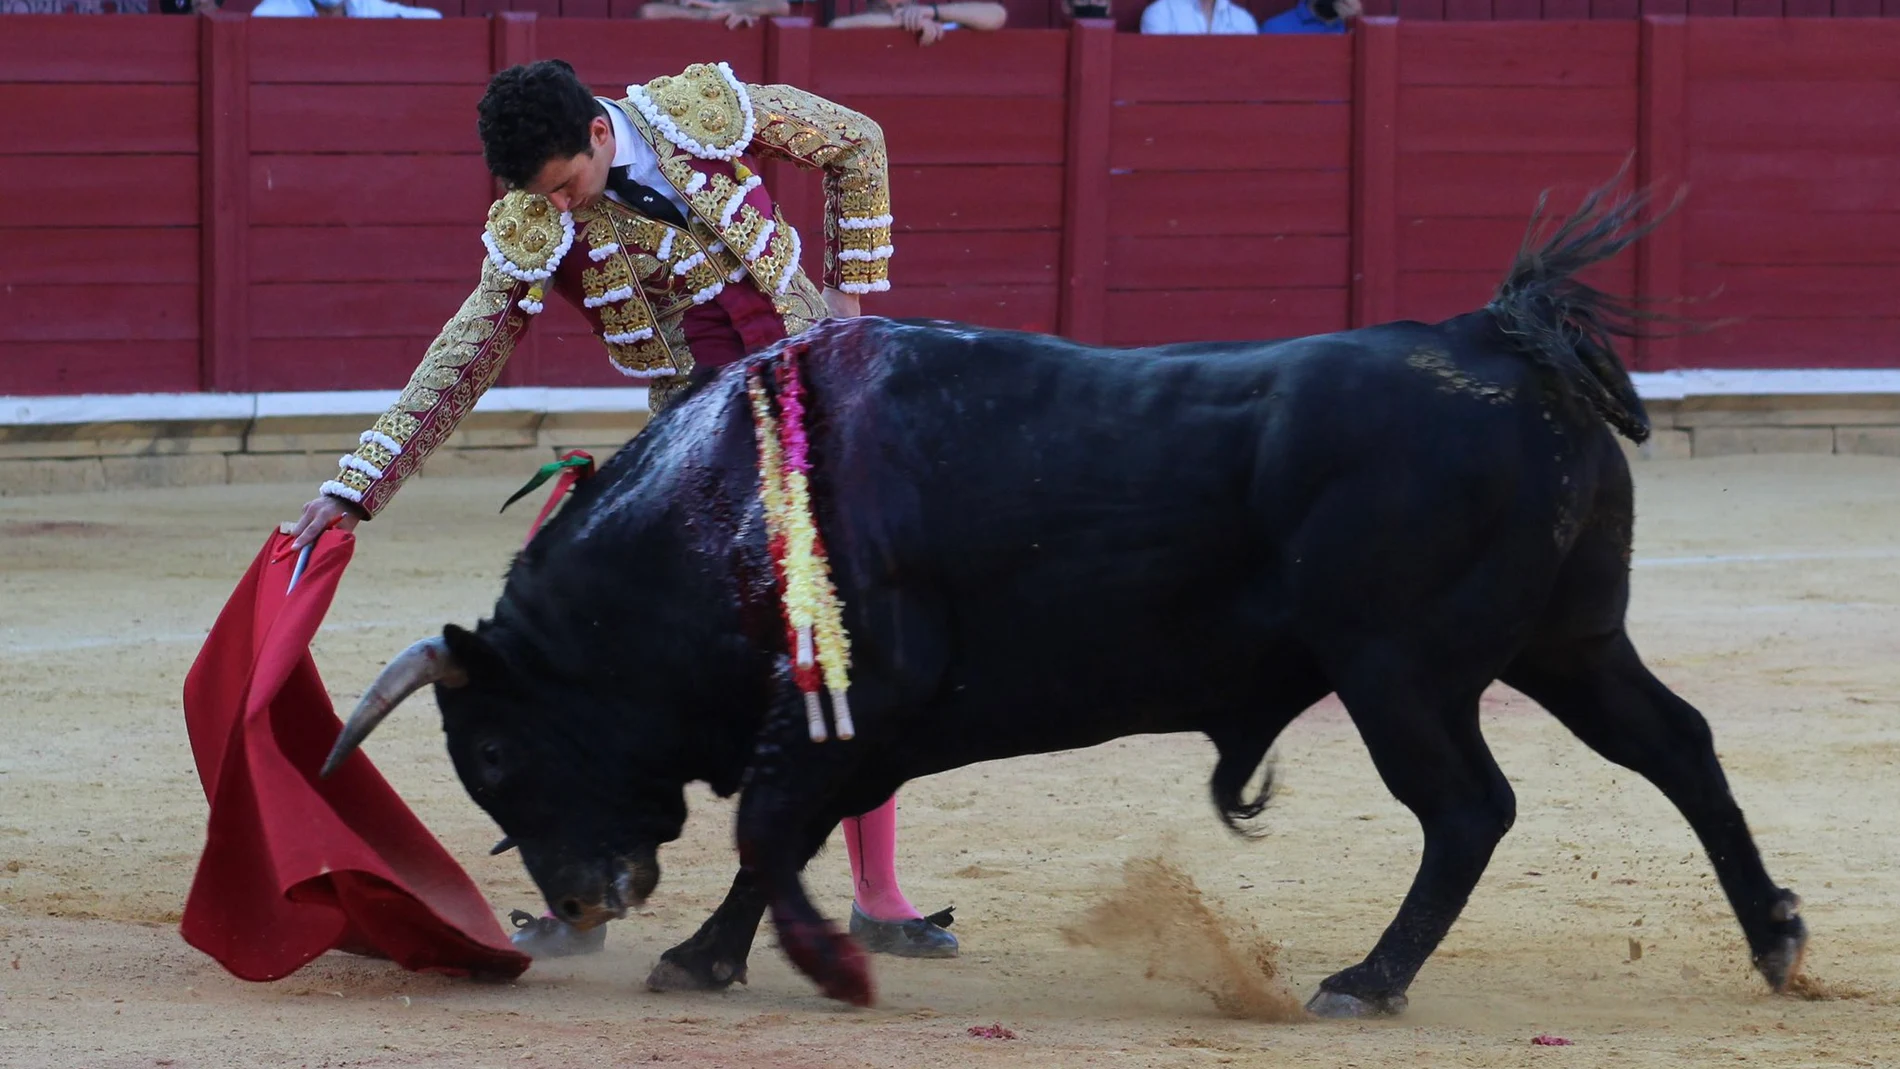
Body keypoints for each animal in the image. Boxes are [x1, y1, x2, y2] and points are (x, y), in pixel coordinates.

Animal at [319, 184, 1801, 1017]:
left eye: (494, 747)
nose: (581, 900)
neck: (723, 507)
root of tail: (1488, 336)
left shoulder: (861, 695)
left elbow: (768, 823)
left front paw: (739, 960)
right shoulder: (868, 722)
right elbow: (787, 828)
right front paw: (742, 953)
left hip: (1400, 671)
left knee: (1471, 810)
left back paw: (1363, 984)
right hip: (1570, 639)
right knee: (1675, 744)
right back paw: (1780, 940)